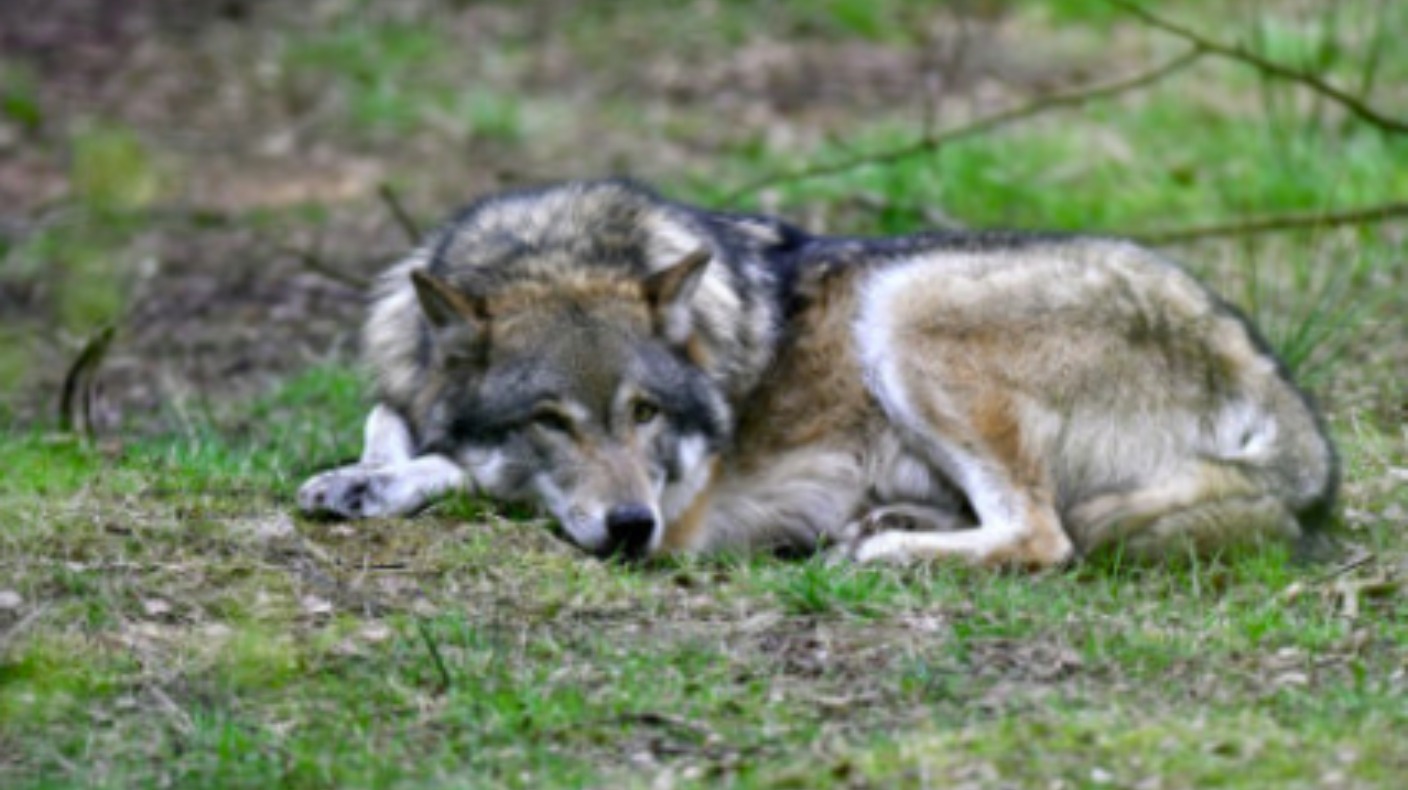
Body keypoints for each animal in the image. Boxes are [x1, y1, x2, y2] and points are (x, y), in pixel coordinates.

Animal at [297, 180, 1337, 568]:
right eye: (550, 420)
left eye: (645, 414)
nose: (632, 529)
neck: (555, 253)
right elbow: (391, 420)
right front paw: (362, 471)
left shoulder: (683, 509)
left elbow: (464, 468)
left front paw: (382, 484)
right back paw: (882, 526)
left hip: (906, 307)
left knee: (1044, 536)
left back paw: (877, 552)